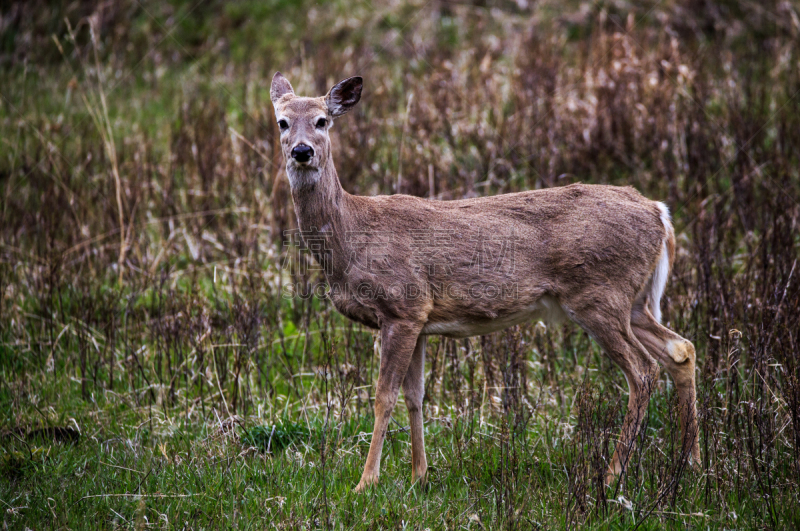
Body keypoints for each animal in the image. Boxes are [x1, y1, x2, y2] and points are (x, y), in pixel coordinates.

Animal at [270, 71, 700, 494]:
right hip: (633, 300)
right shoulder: (419, 318)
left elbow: (383, 397)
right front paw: (419, 475)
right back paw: (691, 465)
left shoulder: (401, 306)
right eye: (282, 122)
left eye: (322, 120)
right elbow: (415, 395)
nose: (302, 151)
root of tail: (660, 213)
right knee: (681, 349)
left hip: (600, 294)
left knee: (643, 371)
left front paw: (366, 483)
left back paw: (611, 476)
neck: (352, 235)